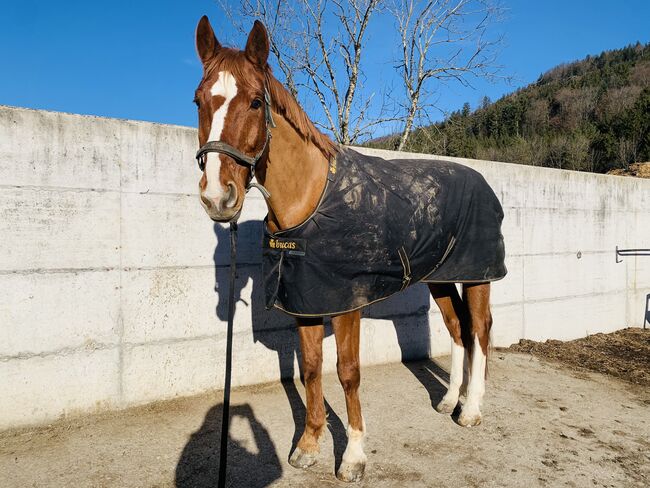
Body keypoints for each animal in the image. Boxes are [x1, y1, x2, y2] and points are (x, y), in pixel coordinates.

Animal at [195, 16, 494, 484]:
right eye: (198, 101)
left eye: (256, 102)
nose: (216, 197)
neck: (311, 199)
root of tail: (481, 181)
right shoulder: (306, 302)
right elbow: (312, 368)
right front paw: (307, 446)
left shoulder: (345, 303)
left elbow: (347, 373)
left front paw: (353, 456)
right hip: (441, 279)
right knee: (457, 328)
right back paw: (450, 402)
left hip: (478, 274)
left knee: (479, 330)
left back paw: (471, 411)